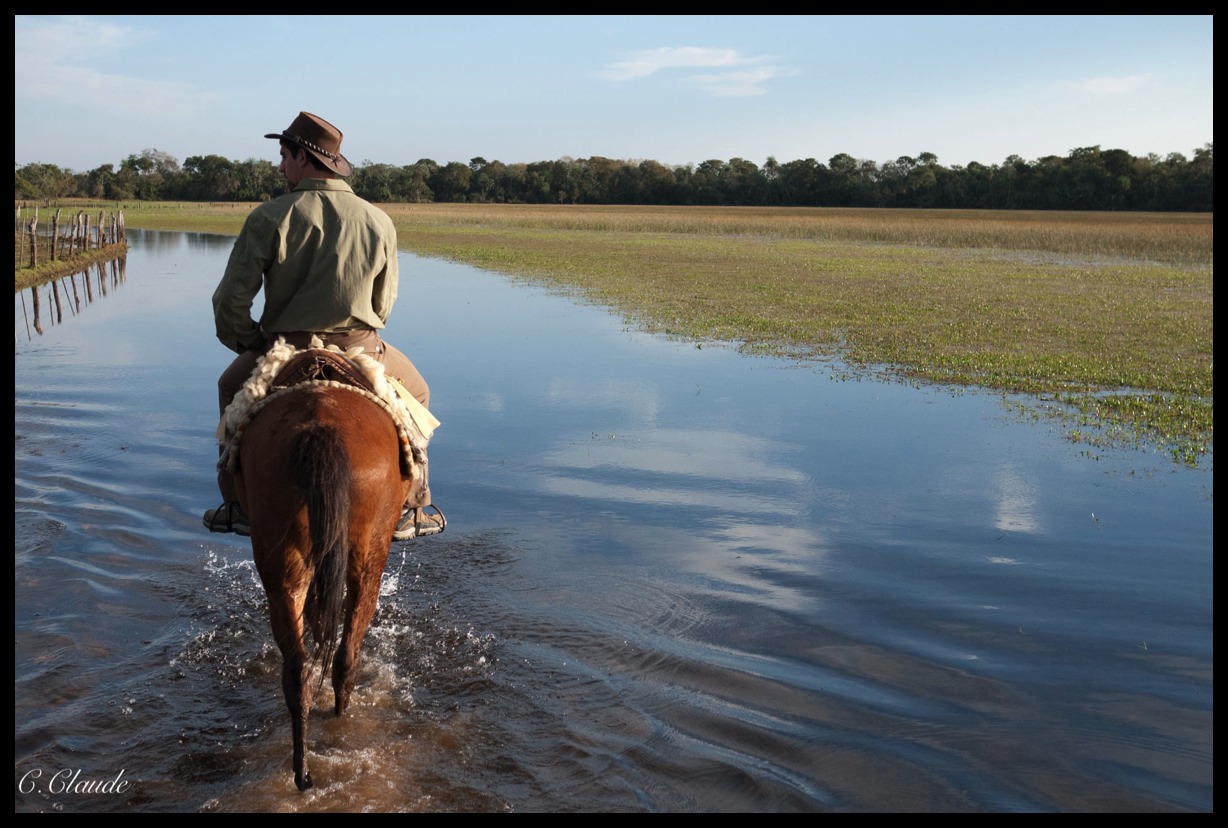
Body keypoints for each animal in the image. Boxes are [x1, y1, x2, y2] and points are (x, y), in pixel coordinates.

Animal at [234, 380, 412, 786]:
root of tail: (322, 425)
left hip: (283, 564)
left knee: (298, 669)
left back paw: (302, 771)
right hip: (371, 554)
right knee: (347, 652)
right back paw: (339, 721)